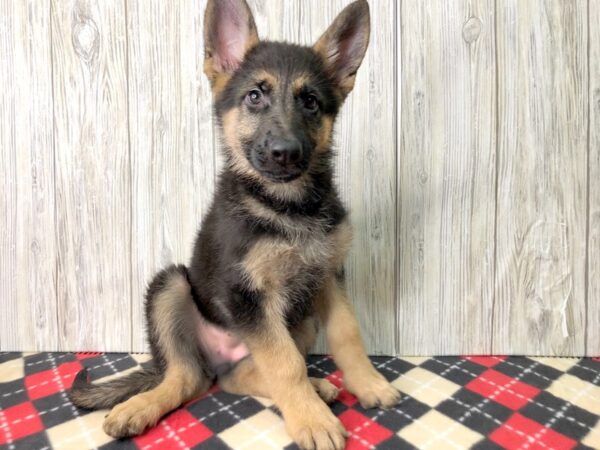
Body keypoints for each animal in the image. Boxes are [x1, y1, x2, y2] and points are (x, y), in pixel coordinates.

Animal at [68, 1, 400, 448]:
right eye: (254, 96)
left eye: (311, 102)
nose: (285, 152)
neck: (287, 206)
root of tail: (217, 357)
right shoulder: (246, 295)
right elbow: (286, 365)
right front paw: (312, 421)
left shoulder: (327, 276)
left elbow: (348, 335)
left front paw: (368, 384)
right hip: (171, 286)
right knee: (188, 376)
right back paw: (142, 405)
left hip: (299, 318)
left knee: (237, 375)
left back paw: (317, 388)